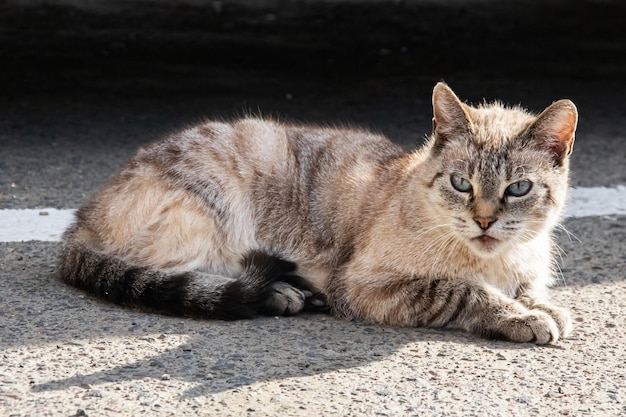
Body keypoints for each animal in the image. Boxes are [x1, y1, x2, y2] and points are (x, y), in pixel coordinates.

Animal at [58, 83, 576, 342]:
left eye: (519, 189)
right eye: (461, 183)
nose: (485, 221)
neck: (496, 260)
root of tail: (80, 219)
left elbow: (529, 289)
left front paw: (542, 306)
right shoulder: (368, 285)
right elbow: (464, 292)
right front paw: (523, 318)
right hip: (220, 210)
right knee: (190, 274)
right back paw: (285, 292)